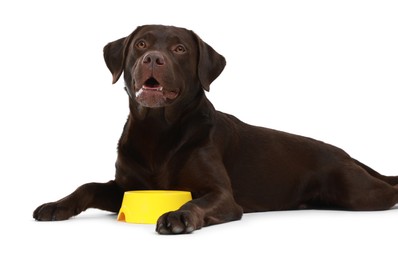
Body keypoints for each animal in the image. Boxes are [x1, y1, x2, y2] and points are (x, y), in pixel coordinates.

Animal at [33, 25, 398, 235]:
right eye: (140, 44)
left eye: (179, 48)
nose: (153, 58)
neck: (157, 131)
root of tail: (345, 153)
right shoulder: (124, 187)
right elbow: (87, 186)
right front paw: (56, 205)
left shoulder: (221, 195)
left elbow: (197, 202)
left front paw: (179, 216)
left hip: (358, 192)